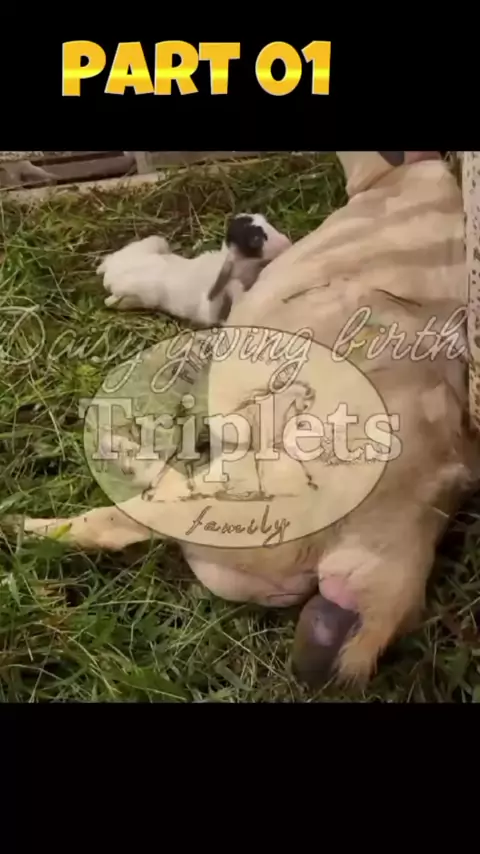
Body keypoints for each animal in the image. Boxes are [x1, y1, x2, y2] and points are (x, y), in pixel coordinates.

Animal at [98, 213, 292, 325]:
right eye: (255, 239)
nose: (287, 243)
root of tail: (109, 274)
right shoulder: (209, 309)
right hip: (136, 295)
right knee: (110, 301)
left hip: (153, 243)